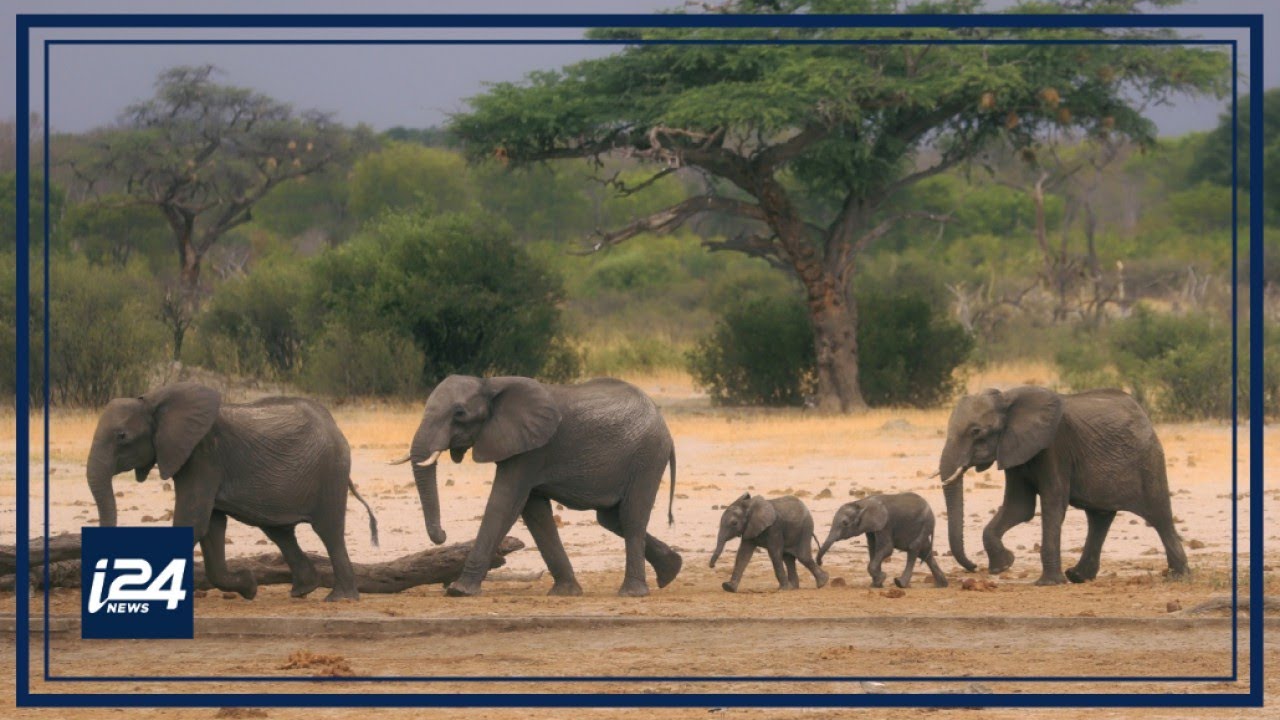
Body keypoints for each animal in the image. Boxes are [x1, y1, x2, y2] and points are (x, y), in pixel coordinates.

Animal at [86, 383, 379, 601]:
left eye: (122, 437)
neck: (153, 401)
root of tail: (335, 426)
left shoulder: (203, 456)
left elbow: (193, 521)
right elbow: (211, 526)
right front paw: (249, 586)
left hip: (330, 471)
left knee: (329, 531)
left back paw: (340, 598)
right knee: (280, 532)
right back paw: (302, 590)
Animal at [391, 375, 682, 598]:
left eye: (459, 414)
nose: (442, 535)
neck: (491, 384)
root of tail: (664, 426)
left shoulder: (531, 451)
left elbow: (504, 503)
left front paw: (459, 591)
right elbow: (535, 513)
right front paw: (565, 592)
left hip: (646, 457)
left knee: (631, 518)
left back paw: (632, 593)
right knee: (611, 518)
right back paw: (671, 570)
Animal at [817, 493, 948, 589]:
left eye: (845, 523)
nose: (820, 562)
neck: (861, 502)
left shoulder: (885, 524)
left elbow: (886, 548)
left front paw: (881, 578)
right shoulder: (871, 528)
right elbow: (873, 549)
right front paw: (876, 584)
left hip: (925, 524)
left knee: (913, 548)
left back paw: (900, 584)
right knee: (926, 553)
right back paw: (942, 585)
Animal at [938, 385, 1188, 586]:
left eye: (976, 432)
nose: (973, 567)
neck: (1008, 398)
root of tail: (1143, 414)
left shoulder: (1054, 447)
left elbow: (1052, 503)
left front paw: (1047, 583)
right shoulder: (1014, 450)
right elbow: (1019, 507)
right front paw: (1004, 565)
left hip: (1148, 459)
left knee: (1159, 515)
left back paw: (1178, 576)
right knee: (1099, 518)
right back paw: (1077, 576)